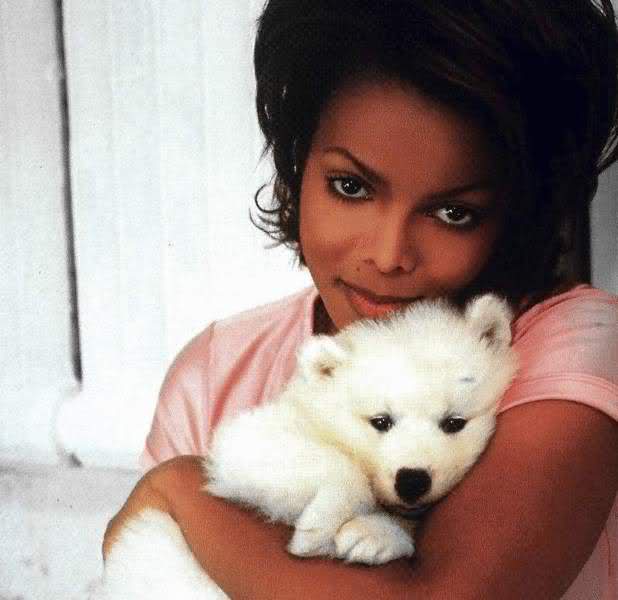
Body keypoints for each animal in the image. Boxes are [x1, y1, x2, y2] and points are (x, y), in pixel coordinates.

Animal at [100, 294, 517, 598]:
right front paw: (318, 528)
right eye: (381, 421)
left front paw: (372, 535)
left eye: (454, 423)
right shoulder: (256, 437)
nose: (412, 480)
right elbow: (326, 464)